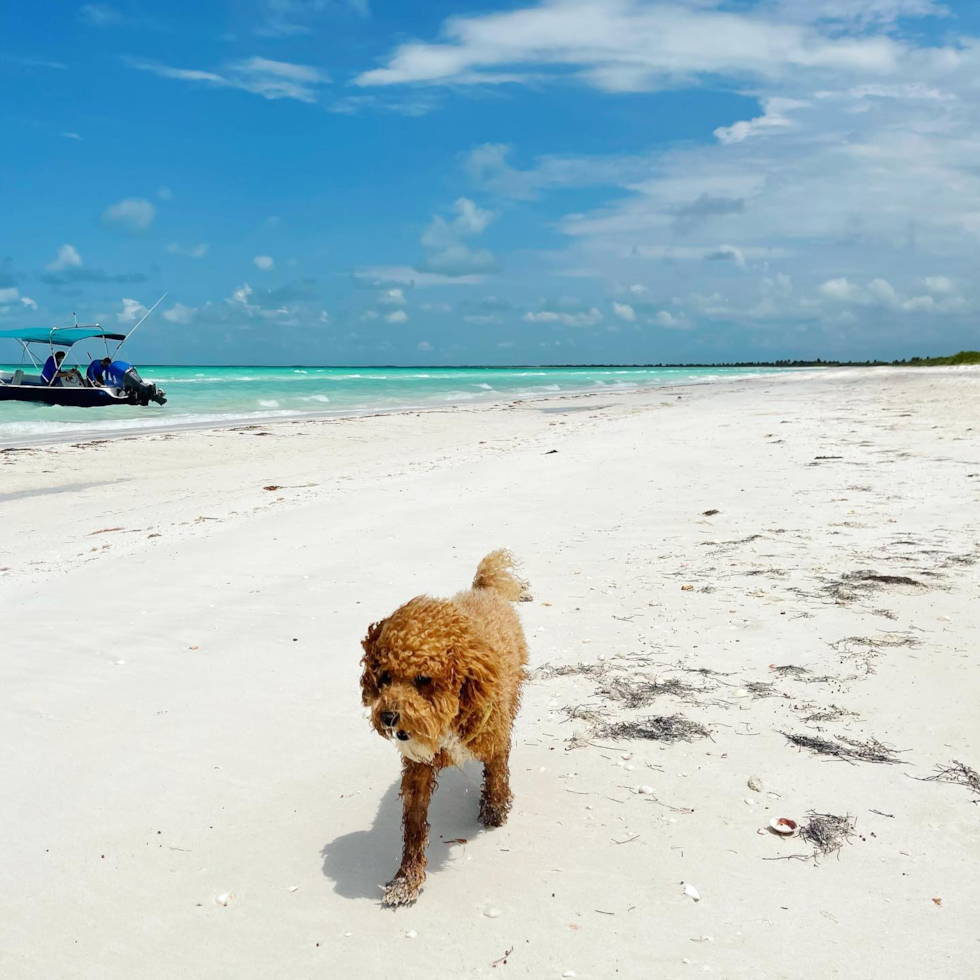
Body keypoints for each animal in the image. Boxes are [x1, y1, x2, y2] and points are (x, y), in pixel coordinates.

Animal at [358, 548, 528, 908]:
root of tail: (482, 591)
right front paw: (406, 880)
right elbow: (414, 827)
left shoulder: (495, 738)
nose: (388, 716)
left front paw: (495, 806)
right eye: (385, 677)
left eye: (423, 679)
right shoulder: (418, 771)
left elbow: (497, 771)